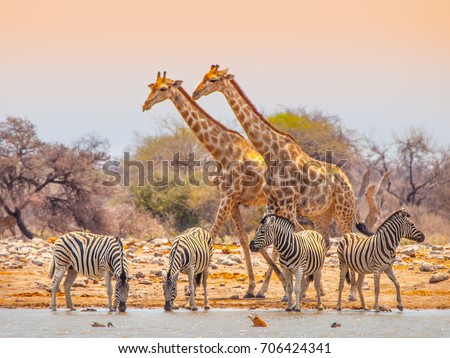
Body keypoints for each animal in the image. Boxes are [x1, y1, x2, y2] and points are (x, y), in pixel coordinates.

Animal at [142, 71, 286, 298]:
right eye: (152, 87)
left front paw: (192, 286)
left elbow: (212, 235)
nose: (145, 104)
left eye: (163, 88)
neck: (222, 150)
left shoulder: (228, 197)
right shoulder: (233, 200)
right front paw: (249, 287)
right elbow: (242, 239)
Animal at [192, 64, 358, 300]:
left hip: (344, 211)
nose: (196, 93)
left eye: (214, 80)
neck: (272, 152)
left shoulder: (287, 205)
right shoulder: (277, 204)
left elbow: (290, 242)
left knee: (347, 240)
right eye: (204, 76)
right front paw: (291, 289)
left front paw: (291, 289)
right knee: (325, 241)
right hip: (323, 215)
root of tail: (348, 182)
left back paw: (351, 292)